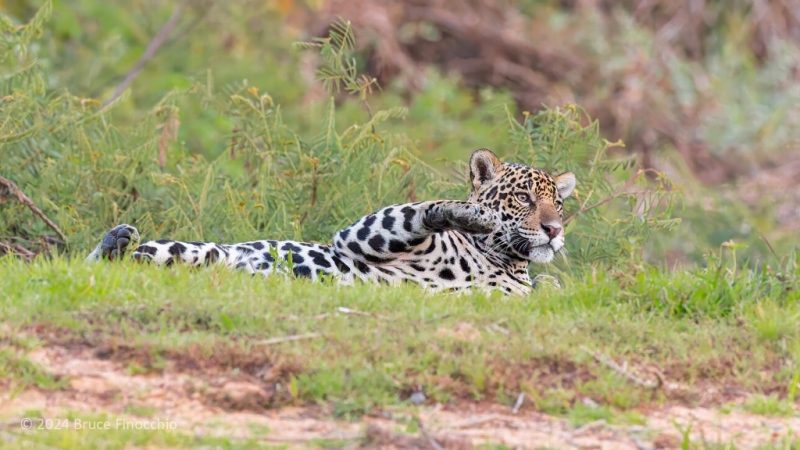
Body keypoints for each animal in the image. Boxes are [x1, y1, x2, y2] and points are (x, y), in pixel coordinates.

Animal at [87, 149, 576, 295]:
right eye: (524, 198)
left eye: (558, 204)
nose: (554, 230)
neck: (502, 261)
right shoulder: (359, 236)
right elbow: (420, 209)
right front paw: (470, 214)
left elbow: (543, 288)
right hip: (190, 250)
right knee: (101, 263)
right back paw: (117, 238)